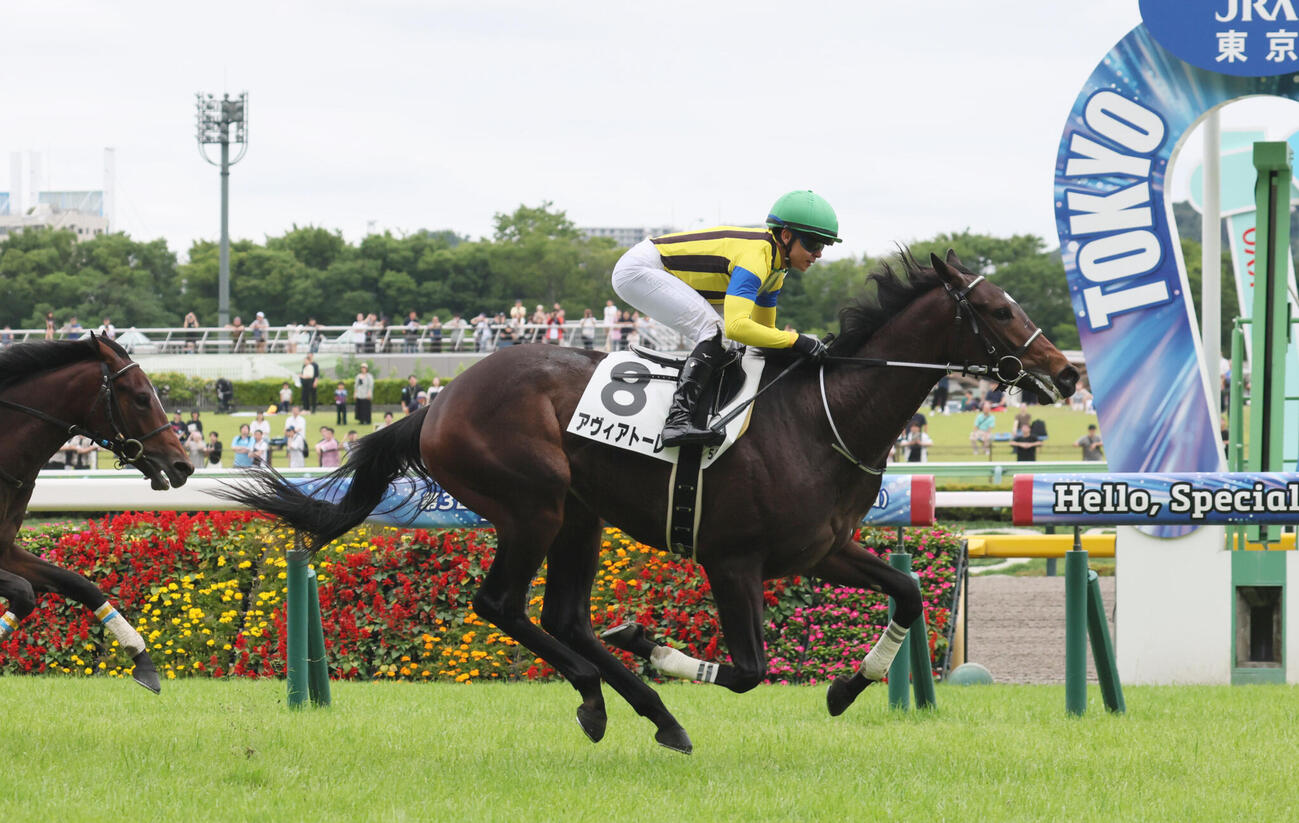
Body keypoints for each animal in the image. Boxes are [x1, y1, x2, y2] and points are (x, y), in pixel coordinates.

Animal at [0, 334, 195, 692]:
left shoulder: (5, 549)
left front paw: (142, 660)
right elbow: (25, 592)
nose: (182, 465)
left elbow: (80, 585)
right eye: (142, 397)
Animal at [222, 251, 1078, 752]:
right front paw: (650, 640)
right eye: (996, 309)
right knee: (501, 604)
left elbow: (905, 592)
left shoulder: (823, 547)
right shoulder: (733, 560)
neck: (821, 416)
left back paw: (634, 705)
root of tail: (436, 401)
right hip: (532, 504)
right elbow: (748, 669)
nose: (1065, 371)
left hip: (580, 513)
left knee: (563, 614)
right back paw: (613, 693)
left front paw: (844, 686)